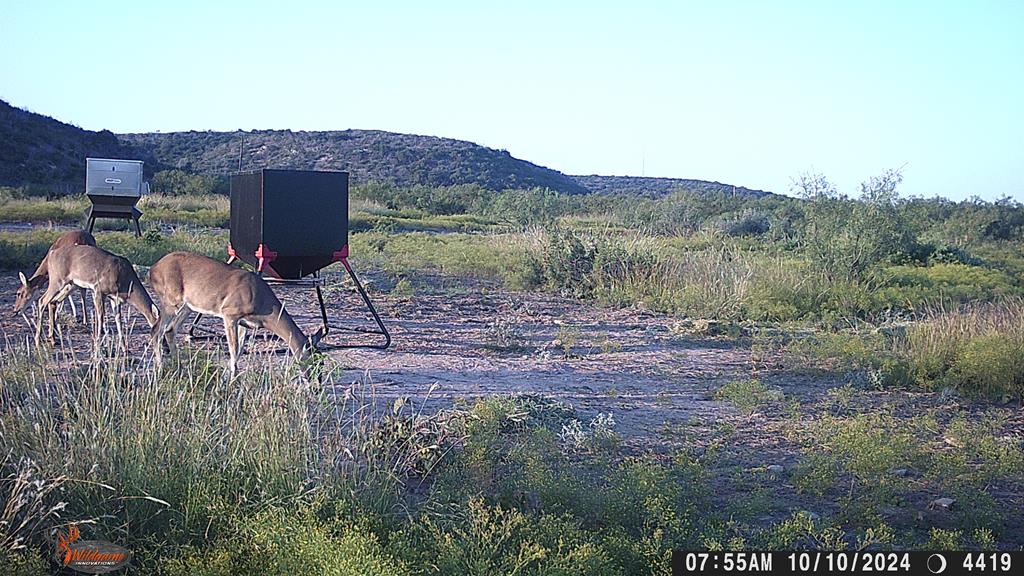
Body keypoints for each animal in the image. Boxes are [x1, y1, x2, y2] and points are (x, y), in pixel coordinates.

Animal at [149, 251, 319, 377]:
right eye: (314, 359)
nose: (316, 383)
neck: (261, 303)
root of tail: (153, 269)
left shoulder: (245, 323)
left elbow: (240, 350)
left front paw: (236, 377)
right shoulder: (229, 313)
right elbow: (233, 348)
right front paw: (232, 378)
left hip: (188, 306)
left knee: (170, 330)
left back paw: (179, 369)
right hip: (170, 300)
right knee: (156, 330)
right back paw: (161, 369)